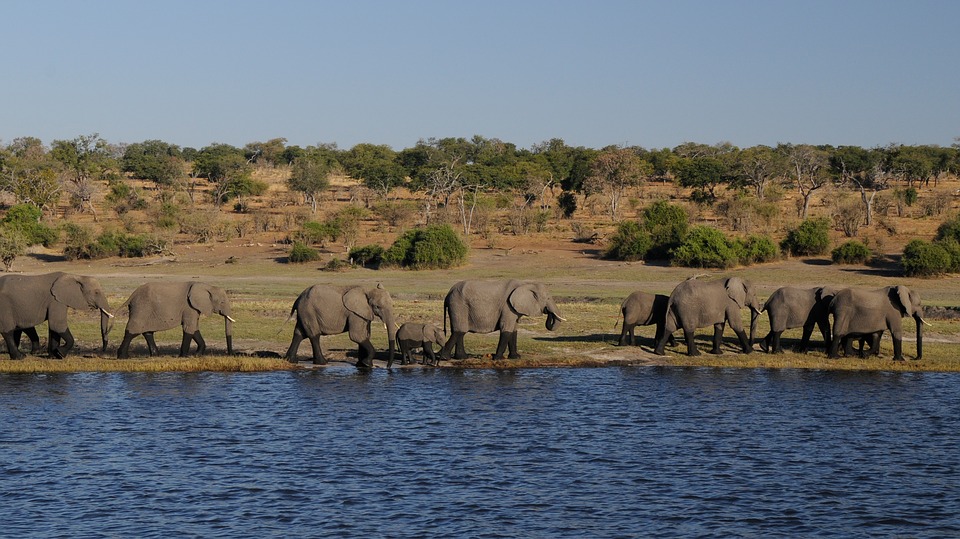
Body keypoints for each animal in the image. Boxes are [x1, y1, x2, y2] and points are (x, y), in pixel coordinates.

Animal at [440, 280, 568, 360]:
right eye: (548, 298)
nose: (549, 312)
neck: (526, 284)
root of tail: (447, 294)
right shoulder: (507, 307)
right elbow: (506, 328)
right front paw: (498, 358)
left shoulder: (514, 309)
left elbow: (513, 330)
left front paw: (516, 358)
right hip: (458, 305)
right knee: (459, 330)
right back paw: (445, 358)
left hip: (457, 306)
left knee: (459, 331)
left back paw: (462, 358)